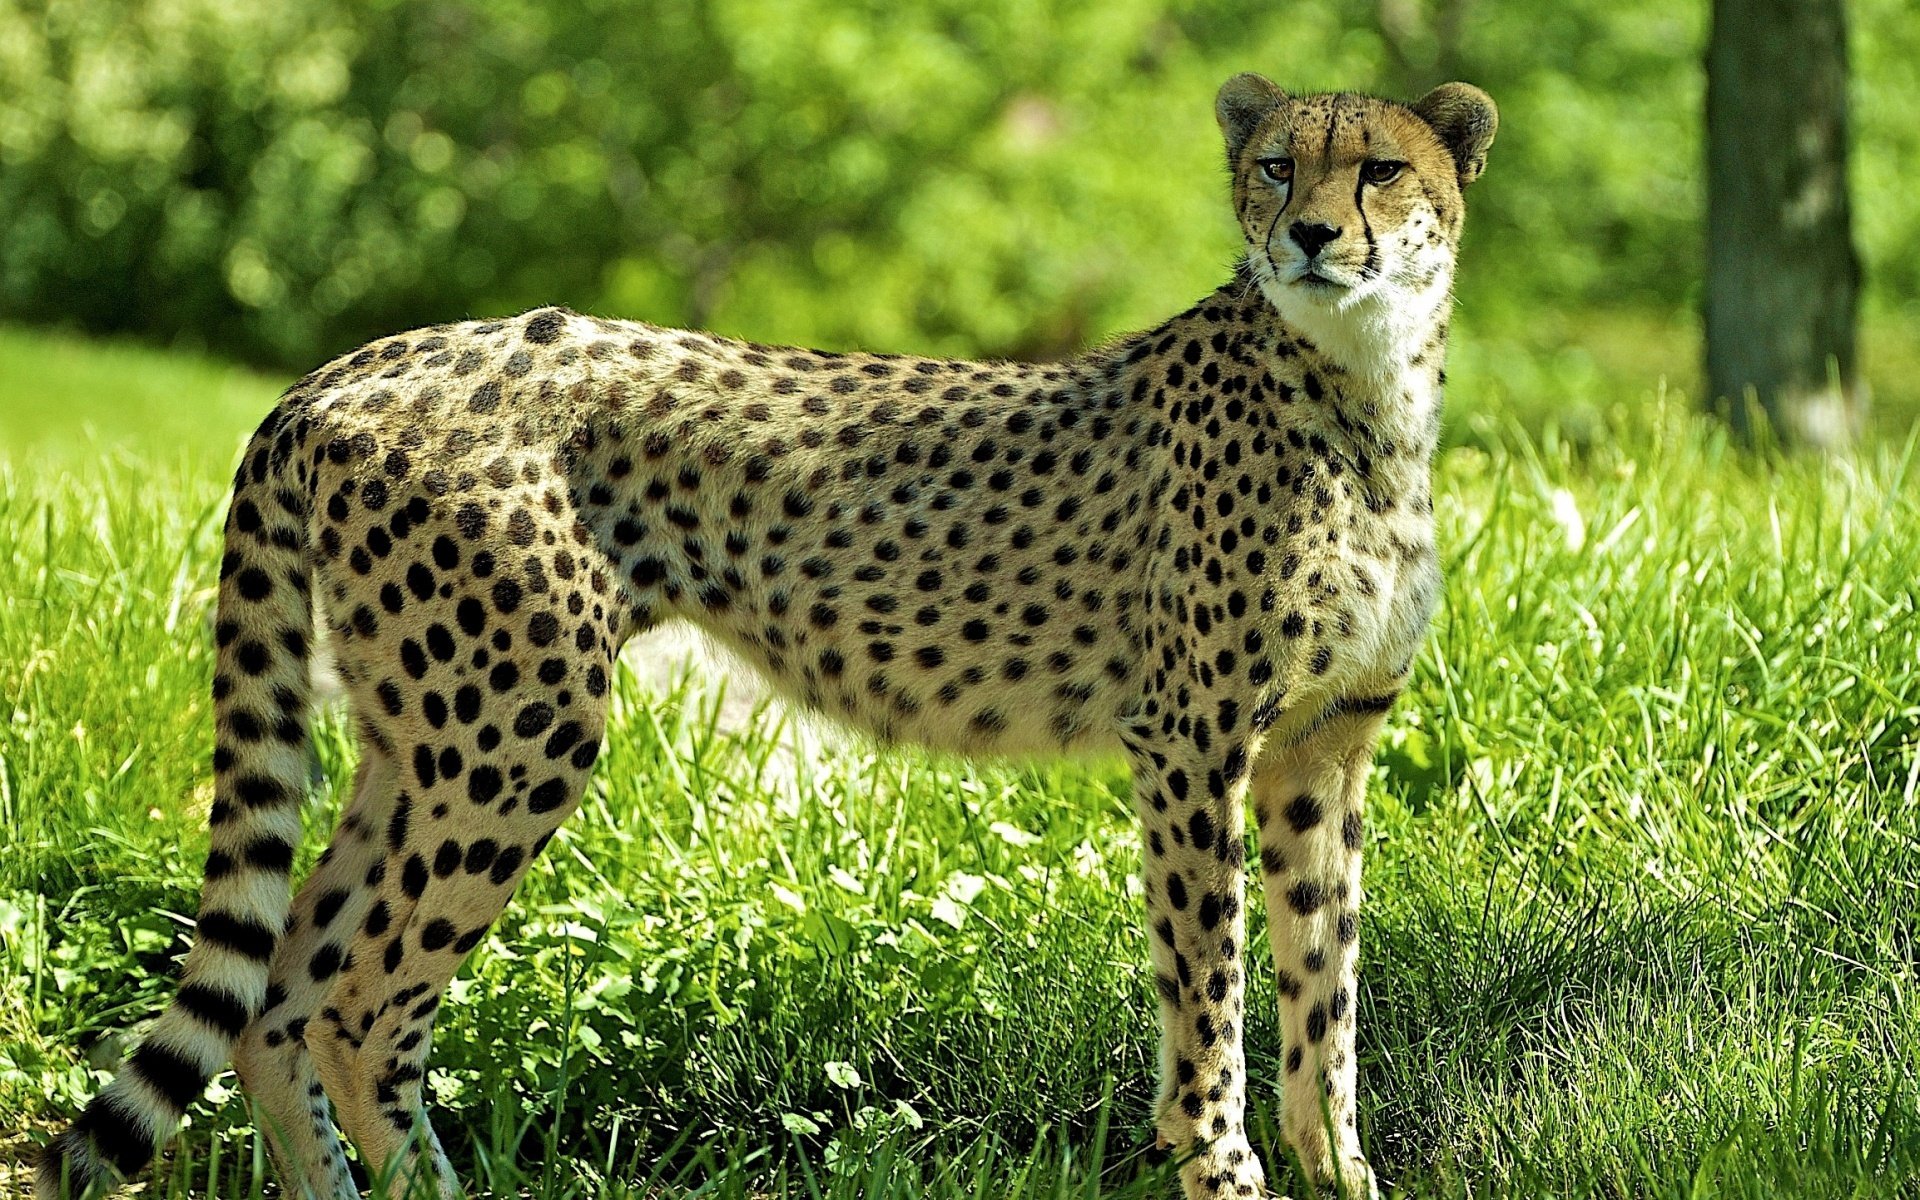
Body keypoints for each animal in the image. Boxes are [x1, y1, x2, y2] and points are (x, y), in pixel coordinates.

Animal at [37, 77, 1489, 1198]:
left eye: (1381, 169)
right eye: (1273, 165)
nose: (1310, 235)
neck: (1362, 384)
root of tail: (345, 367)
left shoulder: (1320, 750)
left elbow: (1324, 990)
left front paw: (1342, 1173)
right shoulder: (1191, 742)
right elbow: (1215, 993)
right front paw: (1226, 1169)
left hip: (423, 732)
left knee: (278, 996)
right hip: (518, 727)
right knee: (354, 1010)